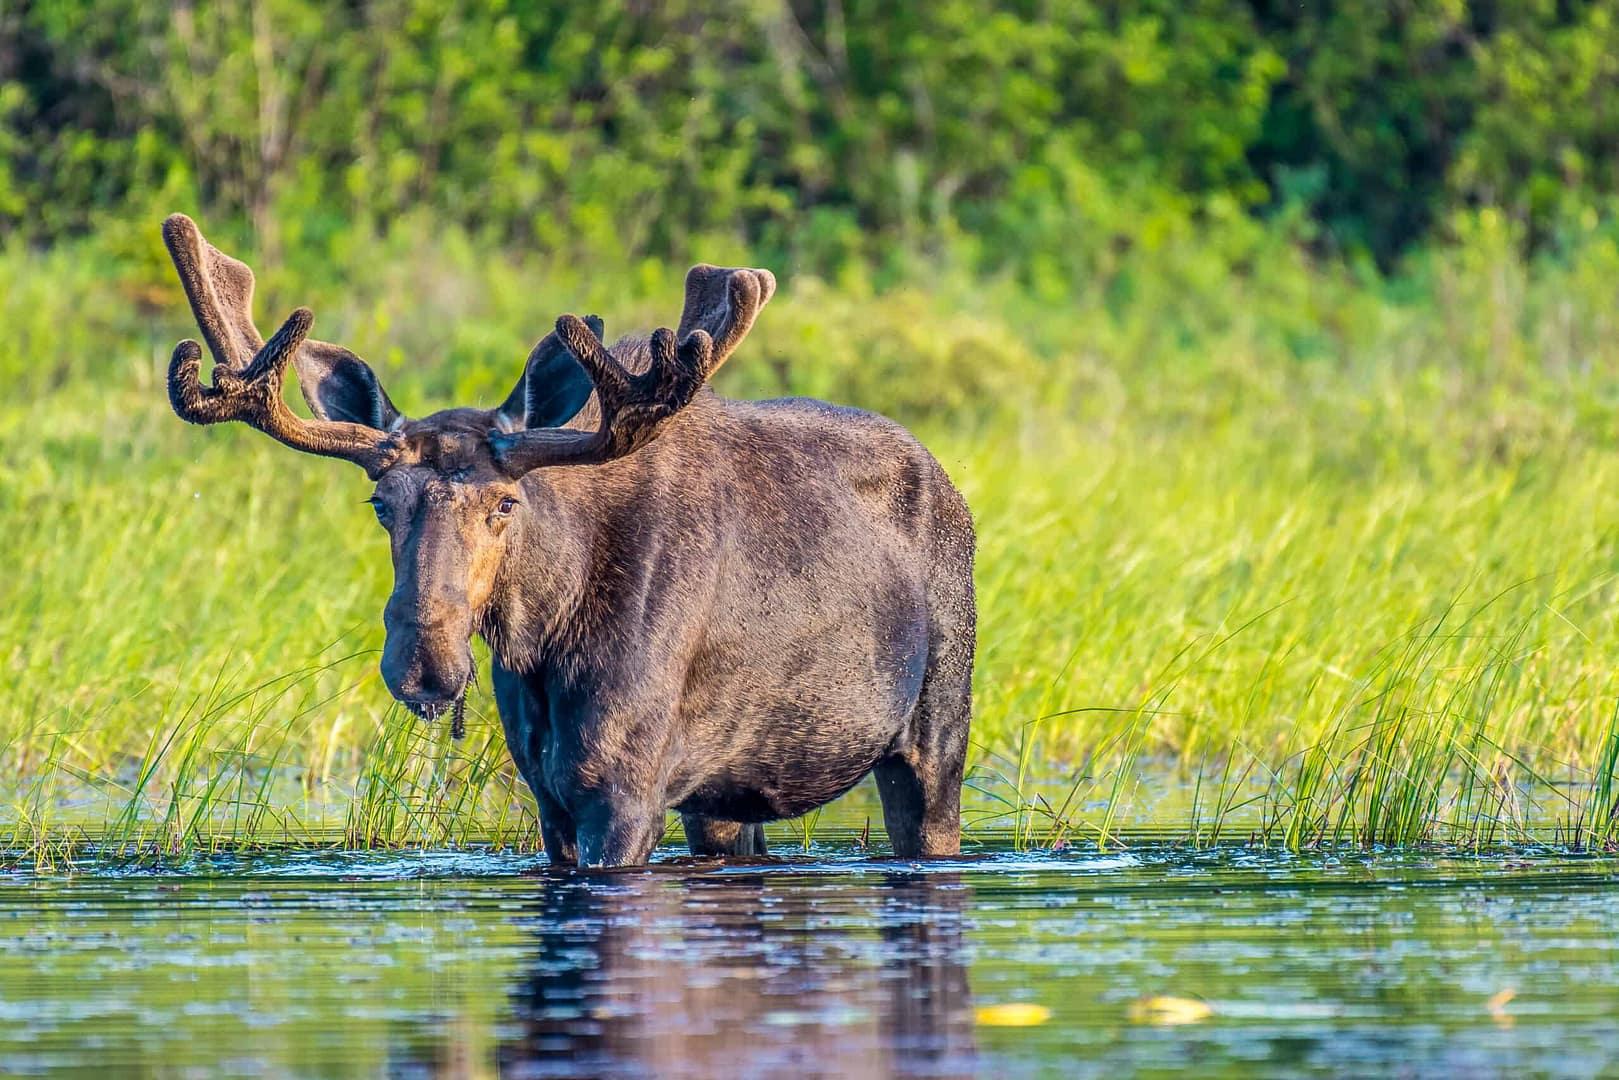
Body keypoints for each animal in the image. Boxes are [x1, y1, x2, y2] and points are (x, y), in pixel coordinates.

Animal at [159, 213, 975, 868]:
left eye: (505, 503)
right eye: (380, 503)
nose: (424, 667)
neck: (547, 629)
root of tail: (948, 483)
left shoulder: (624, 790)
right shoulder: (550, 798)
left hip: (937, 732)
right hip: (723, 797)